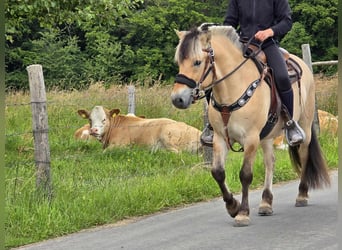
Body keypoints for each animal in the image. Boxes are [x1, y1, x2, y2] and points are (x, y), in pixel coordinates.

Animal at [172, 23, 330, 227]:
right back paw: (266, 202)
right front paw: (232, 206)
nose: (177, 99)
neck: (233, 88)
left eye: (197, 62)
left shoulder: (251, 139)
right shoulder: (220, 138)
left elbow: (245, 174)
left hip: (304, 125)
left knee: (304, 155)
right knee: (270, 162)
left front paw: (242, 213)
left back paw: (302, 195)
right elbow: (218, 172)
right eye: (179, 62)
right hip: (268, 136)